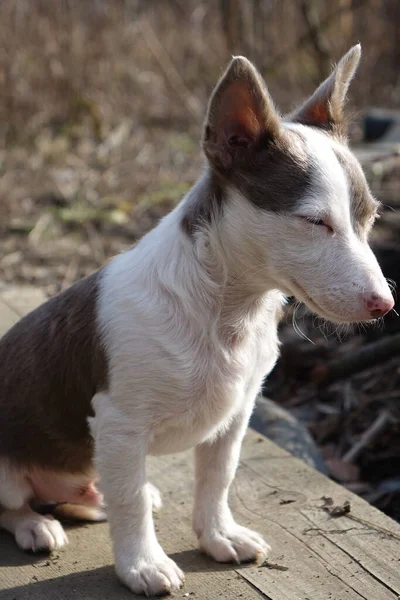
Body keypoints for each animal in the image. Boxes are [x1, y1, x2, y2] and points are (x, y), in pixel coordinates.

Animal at [0, 45, 394, 596]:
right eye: (315, 222)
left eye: (371, 219)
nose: (385, 304)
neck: (228, 310)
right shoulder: (119, 424)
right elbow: (131, 503)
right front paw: (142, 564)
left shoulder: (234, 416)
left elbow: (216, 479)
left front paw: (217, 535)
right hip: (10, 468)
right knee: (13, 506)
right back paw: (36, 525)